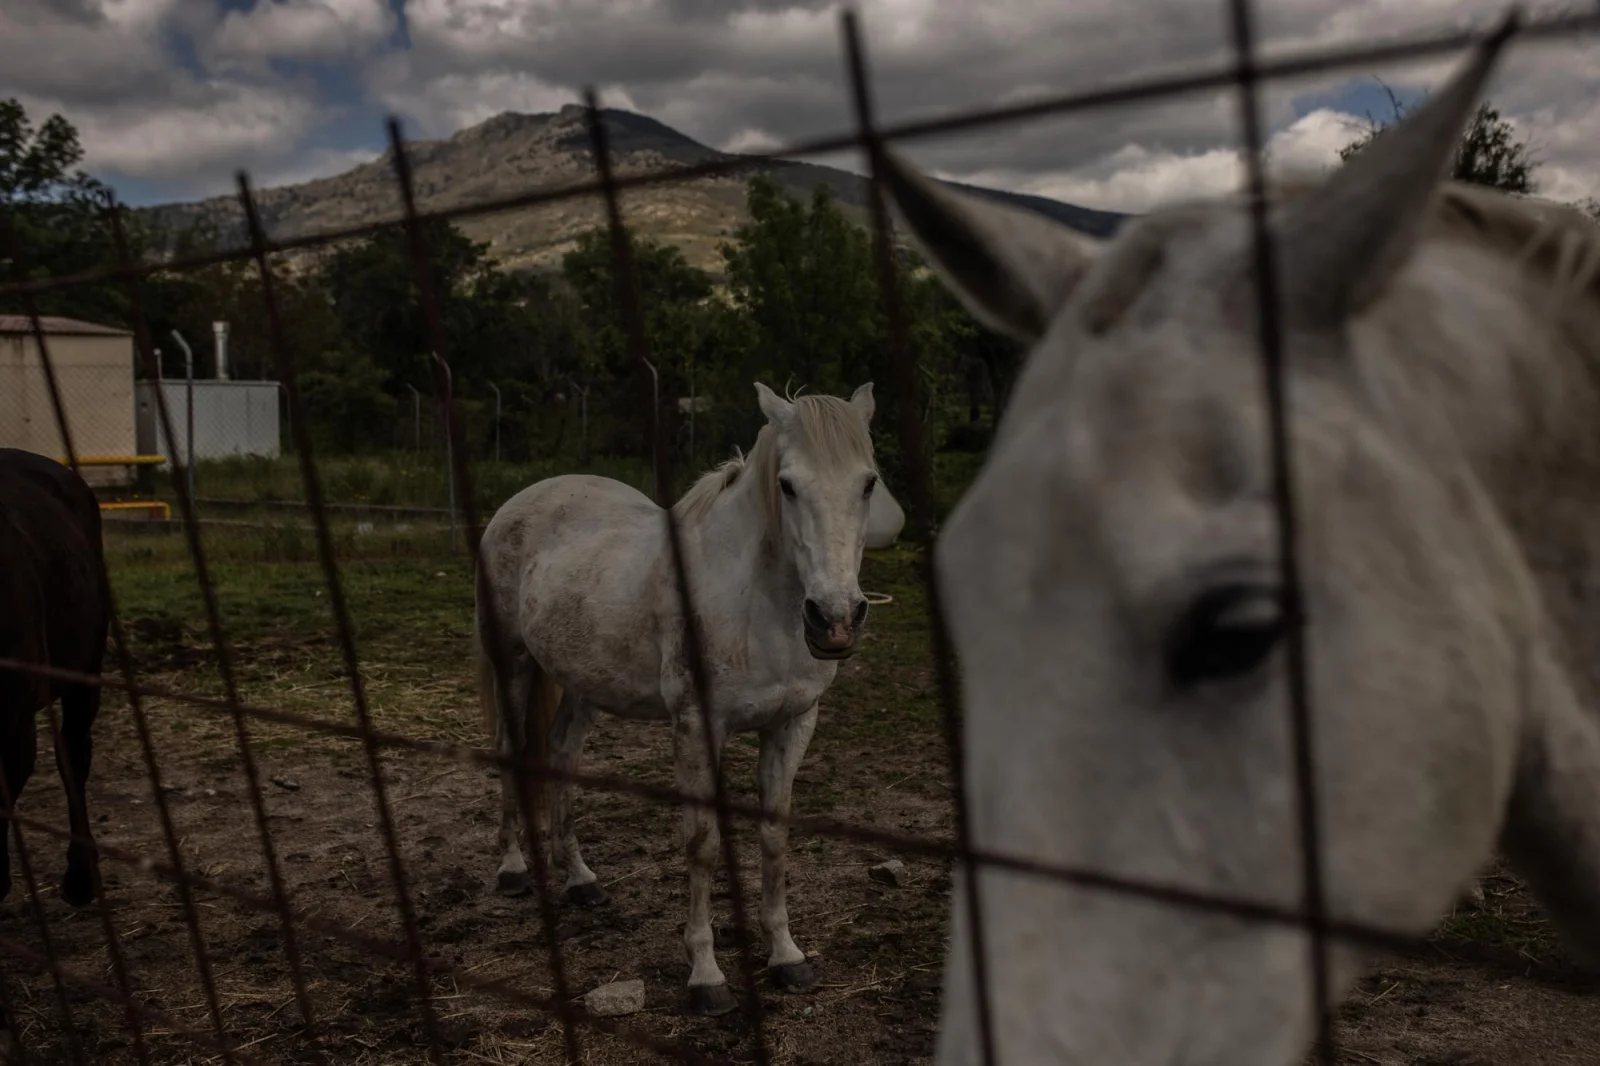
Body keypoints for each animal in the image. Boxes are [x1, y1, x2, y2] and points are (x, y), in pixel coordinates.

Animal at [475, 382, 879, 1014]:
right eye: (787, 485)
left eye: (868, 483)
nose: (834, 620)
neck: (753, 600)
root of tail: (522, 500)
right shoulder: (695, 726)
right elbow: (702, 844)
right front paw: (706, 976)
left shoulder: (793, 724)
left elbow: (774, 838)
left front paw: (787, 957)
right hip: (513, 665)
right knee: (511, 753)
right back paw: (513, 870)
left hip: (584, 683)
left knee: (562, 755)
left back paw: (581, 880)